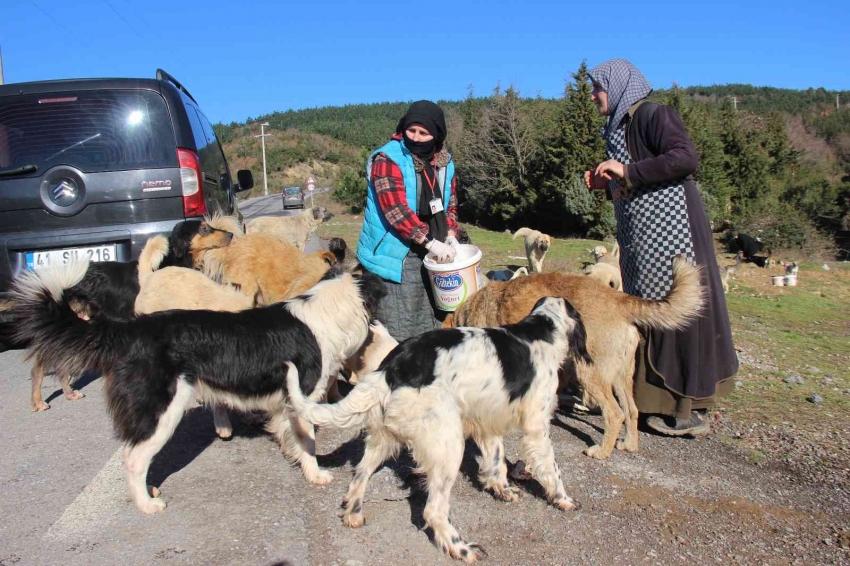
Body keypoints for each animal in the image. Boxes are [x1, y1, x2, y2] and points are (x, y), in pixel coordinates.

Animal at [12, 264, 384, 516]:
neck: (327, 309)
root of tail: (131, 330)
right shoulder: (302, 397)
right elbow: (308, 442)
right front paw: (315, 474)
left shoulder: (287, 406)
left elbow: (288, 434)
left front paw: (290, 454)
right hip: (163, 409)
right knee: (132, 457)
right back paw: (146, 505)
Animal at [284, 298, 588, 564]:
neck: (539, 331)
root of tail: (393, 367)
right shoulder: (536, 426)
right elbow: (551, 468)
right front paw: (563, 500)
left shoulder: (486, 421)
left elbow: (496, 461)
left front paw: (502, 490)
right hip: (448, 447)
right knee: (434, 511)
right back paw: (462, 549)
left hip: (384, 439)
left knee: (358, 476)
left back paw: (353, 514)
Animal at [440, 258, 700, 462]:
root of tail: (618, 299)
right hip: (620, 377)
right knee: (631, 409)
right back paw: (629, 444)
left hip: (589, 373)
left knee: (615, 413)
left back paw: (602, 452)